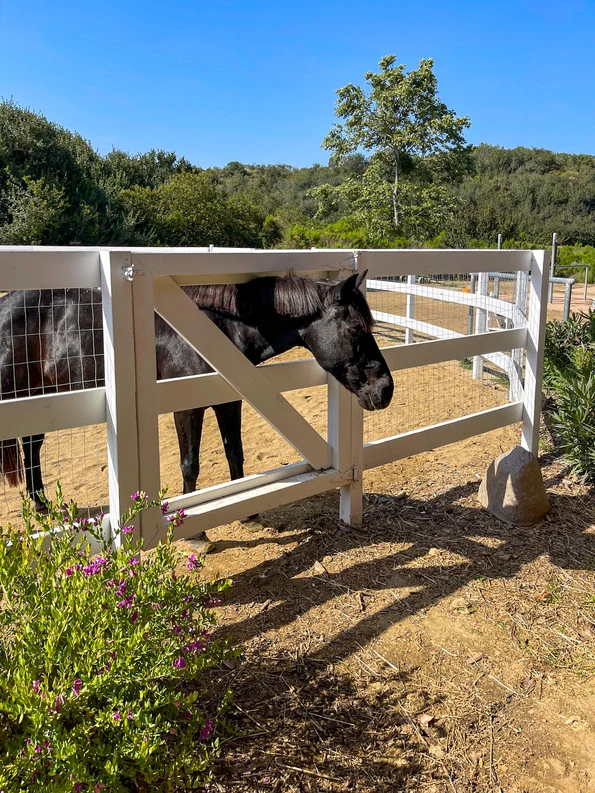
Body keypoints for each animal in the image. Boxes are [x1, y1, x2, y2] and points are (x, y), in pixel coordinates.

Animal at [0, 270, 393, 509]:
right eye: (355, 330)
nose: (386, 389)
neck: (215, 331)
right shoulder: (186, 408)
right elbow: (190, 465)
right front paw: (196, 534)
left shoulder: (229, 400)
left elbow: (235, 454)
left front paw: (246, 511)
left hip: (40, 396)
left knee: (32, 446)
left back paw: (42, 505)